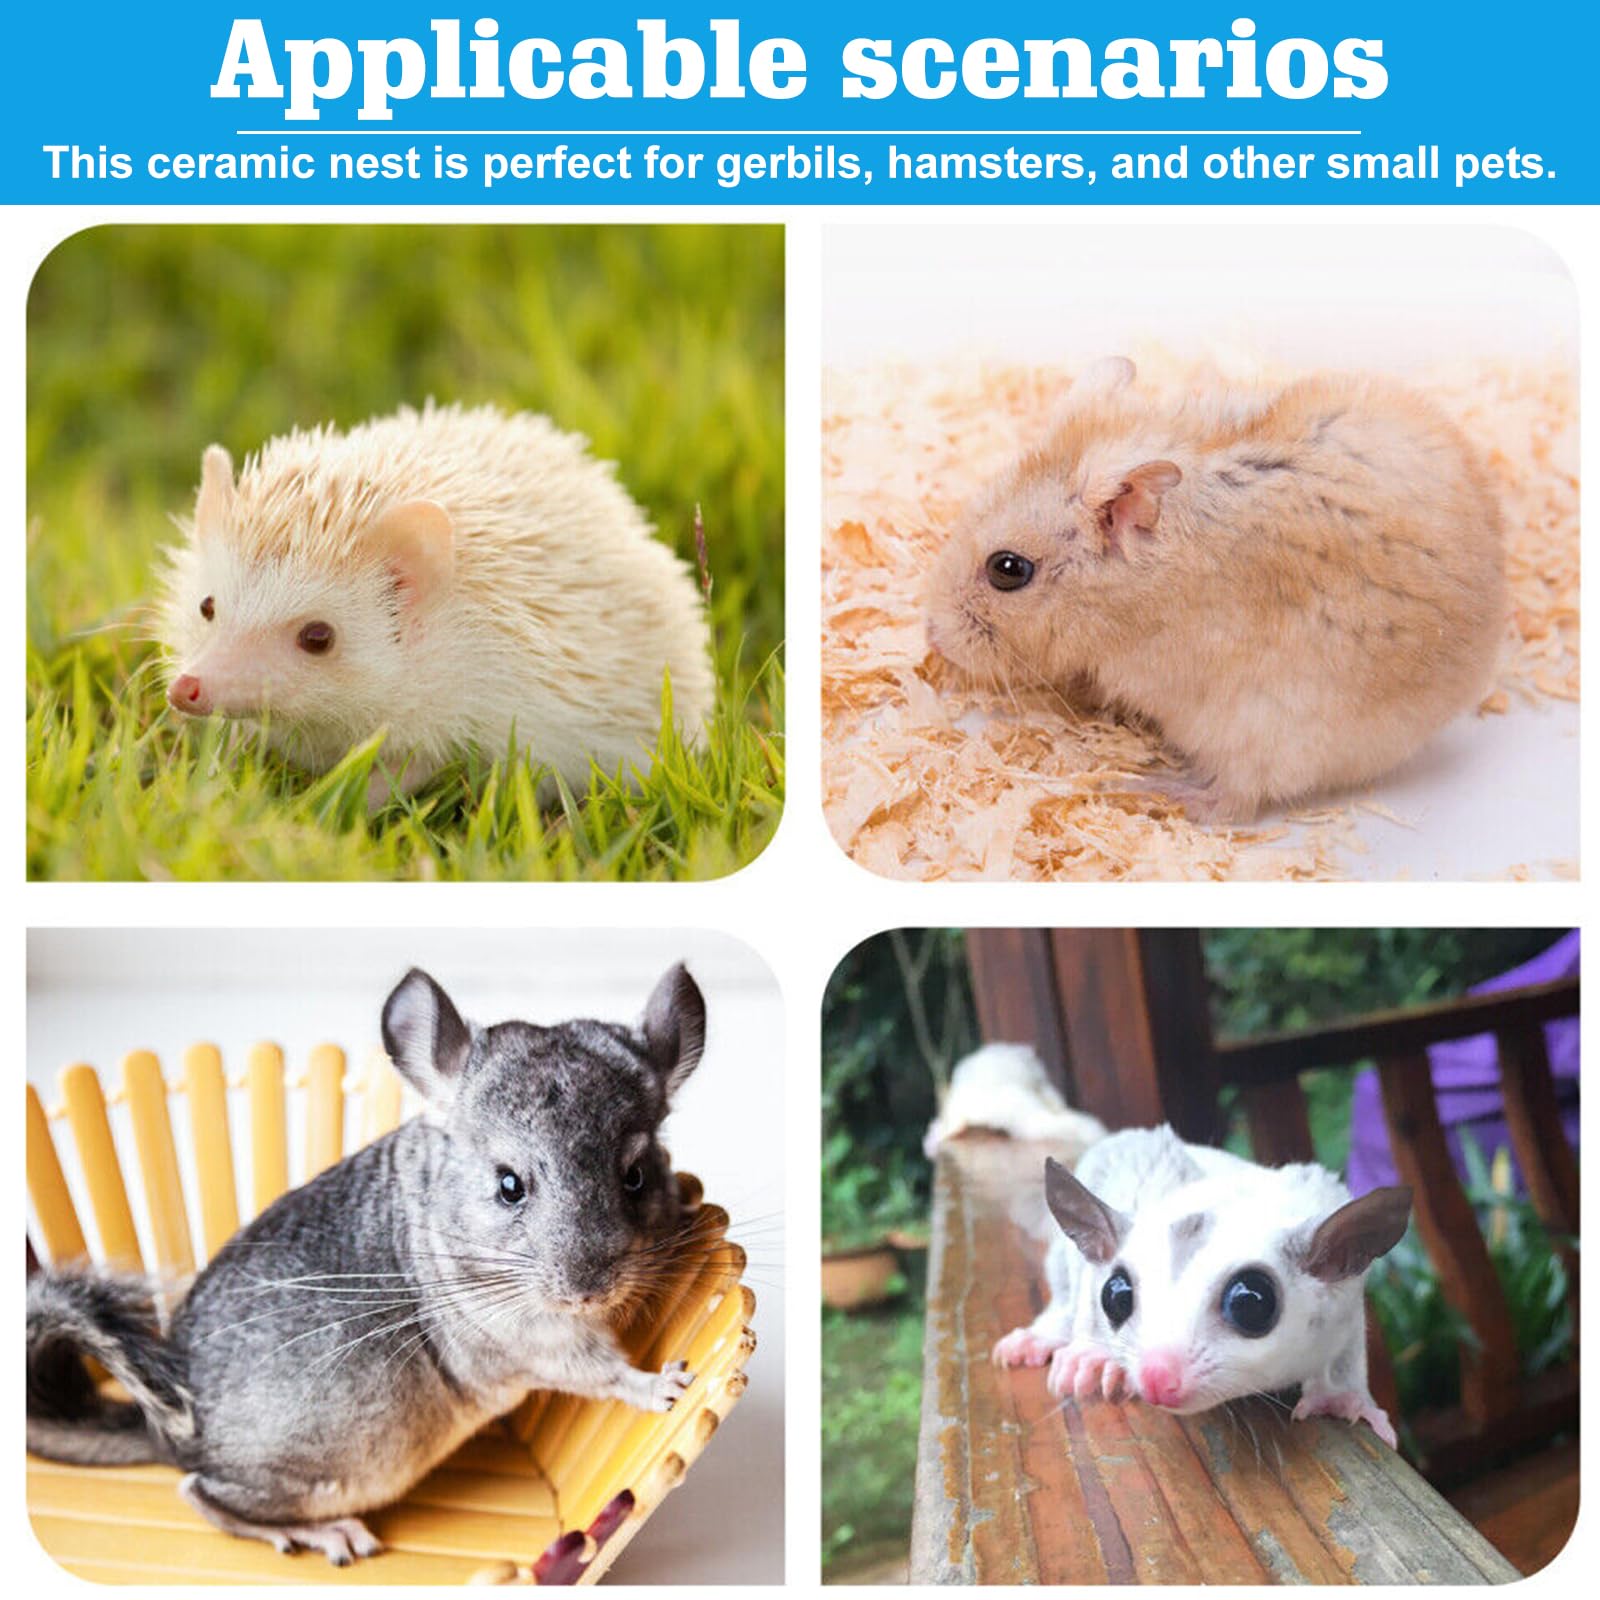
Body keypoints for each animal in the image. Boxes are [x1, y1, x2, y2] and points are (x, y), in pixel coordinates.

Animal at [26, 962, 709, 1564]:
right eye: (510, 1185)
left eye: (635, 1176)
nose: (589, 1289)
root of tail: (170, 1432)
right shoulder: (515, 1338)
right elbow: (599, 1370)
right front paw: (664, 1384)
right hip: (315, 1473)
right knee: (201, 1494)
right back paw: (321, 1534)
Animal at [992, 1125, 1411, 1446]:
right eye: (1116, 1296)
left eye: (1251, 1303)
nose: (1157, 1378)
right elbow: (1087, 1288)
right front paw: (1093, 1357)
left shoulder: (1346, 1298)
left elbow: (1347, 1350)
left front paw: (1343, 1399)